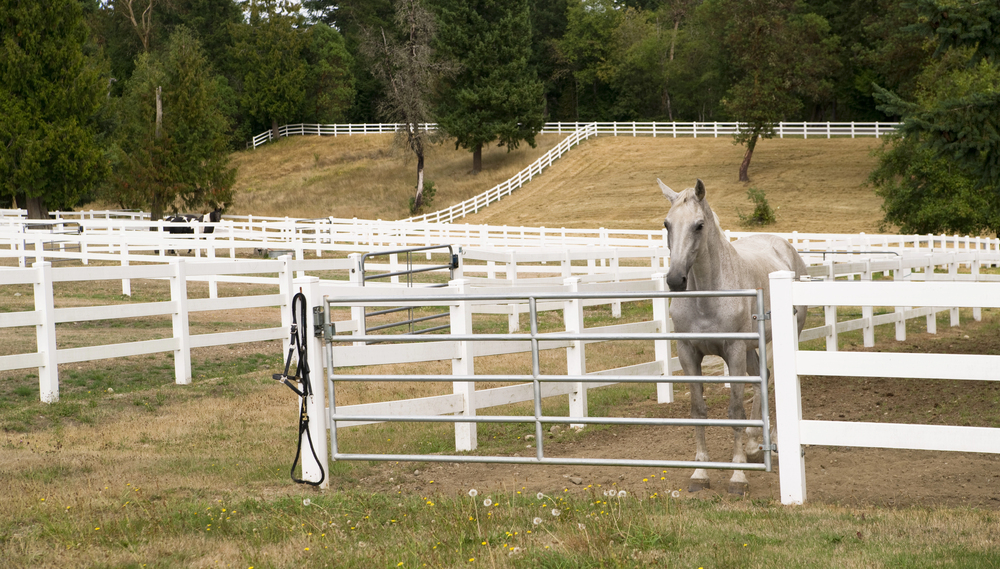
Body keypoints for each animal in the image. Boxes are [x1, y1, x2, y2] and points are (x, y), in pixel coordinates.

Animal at [659, 178, 807, 495]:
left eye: (699, 225)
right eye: (666, 224)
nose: (675, 280)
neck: (708, 296)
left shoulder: (734, 350)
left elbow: (735, 410)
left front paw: (738, 477)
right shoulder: (688, 352)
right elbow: (698, 410)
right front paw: (700, 473)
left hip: (774, 342)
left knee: (772, 381)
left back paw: (772, 444)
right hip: (752, 349)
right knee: (761, 379)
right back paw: (753, 444)